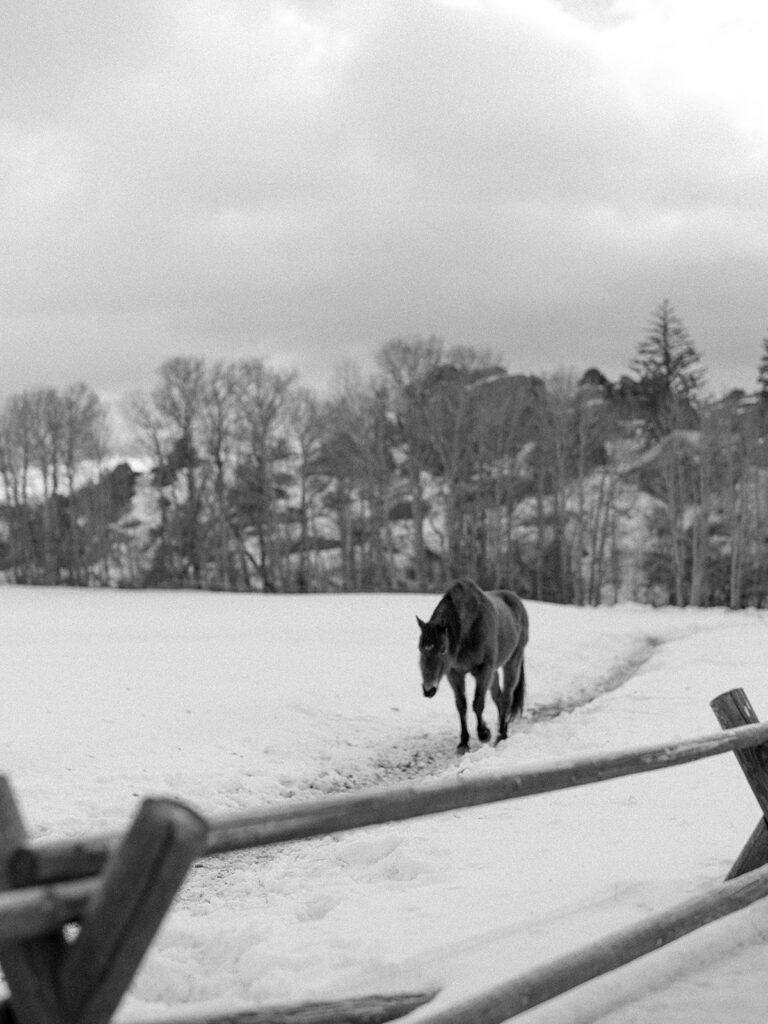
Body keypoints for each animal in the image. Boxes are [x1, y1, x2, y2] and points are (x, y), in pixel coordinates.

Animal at [415, 577, 528, 753]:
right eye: (420, 648)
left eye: (443, 649)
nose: (428, 689)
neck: (468, 629)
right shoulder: (454, 673)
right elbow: (461, 705)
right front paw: (463, 742)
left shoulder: (483, 670)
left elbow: (478, 703)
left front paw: (484, 733)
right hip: (494, 672)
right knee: (498, 697)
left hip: (512, 662)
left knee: (506, 697)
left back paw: (502, 735)